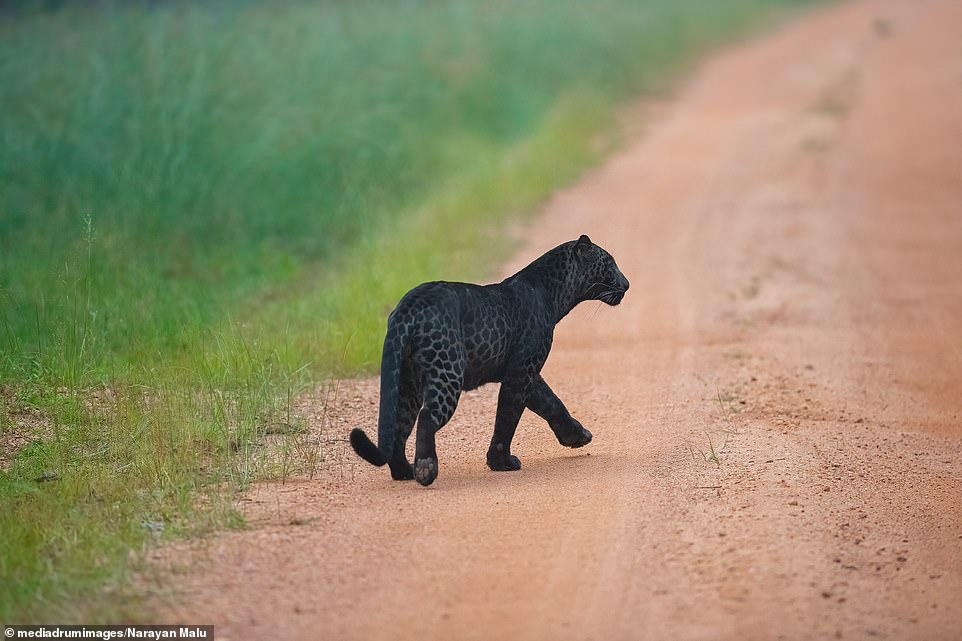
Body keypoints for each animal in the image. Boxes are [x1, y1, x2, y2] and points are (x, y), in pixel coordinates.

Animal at [348, 235, 628, 484]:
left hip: (408, 381)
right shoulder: (521, 371)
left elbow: (551, 402)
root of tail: (407, 308)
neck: (555, 293)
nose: (626, 284)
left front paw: (577, 435)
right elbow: (508, 415)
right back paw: (426, 470)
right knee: (427, 417)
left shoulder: (526, 370)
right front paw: (502, 462)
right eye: (609, 263)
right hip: (447, 374)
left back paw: (404, 472)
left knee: (400, 424)